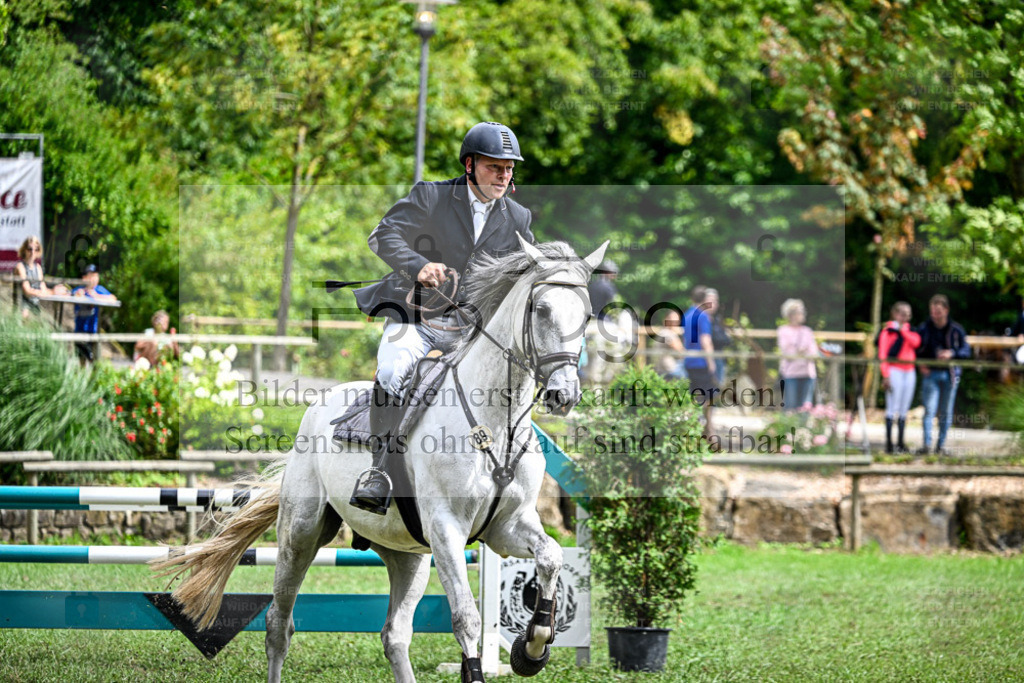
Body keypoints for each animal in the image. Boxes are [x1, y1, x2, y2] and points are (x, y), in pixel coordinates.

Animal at [152, 236, 606, 683]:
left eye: (585, 316)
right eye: (540, 310)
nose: (563, 395)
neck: (496, 425)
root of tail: (317, 404)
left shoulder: (507, 527)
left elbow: (551, 557)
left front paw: (532, 649)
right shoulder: (447, 529)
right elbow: (467, 618)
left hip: (408, 555)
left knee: (395, 635)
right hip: (300, 536)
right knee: (279, 625)